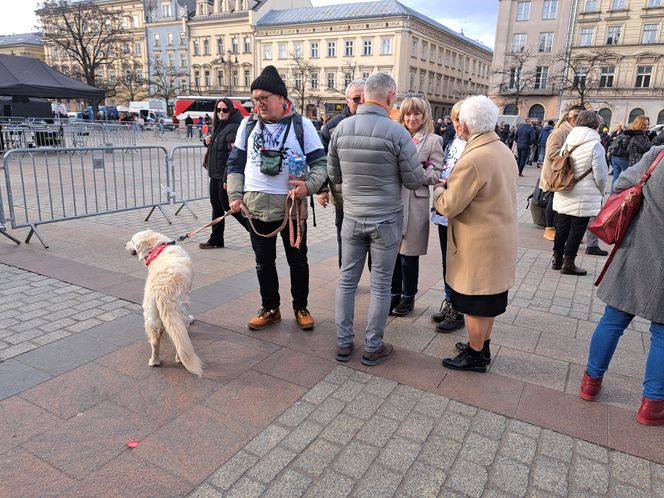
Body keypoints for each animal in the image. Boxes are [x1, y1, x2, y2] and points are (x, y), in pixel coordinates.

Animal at [124, 230, 202, 378]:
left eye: (132, 241)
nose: (124, 244)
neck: (158, 247)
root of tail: (162, 292)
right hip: (179, 313)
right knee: (180, 339)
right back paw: (179, 358)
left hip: (150, 315)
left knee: (155, 342)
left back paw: (154, 362)